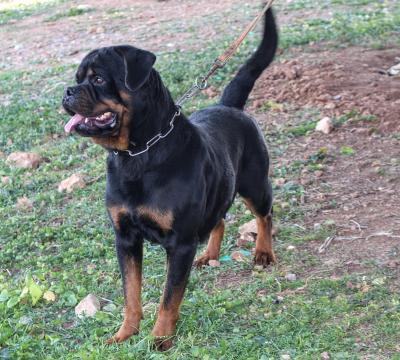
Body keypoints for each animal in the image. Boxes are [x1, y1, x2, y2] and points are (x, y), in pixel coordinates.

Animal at [62, 6, 278, 348]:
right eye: (78, 79)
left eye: (98, 78)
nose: (68, 91)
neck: (137, 156)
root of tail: (227, 105)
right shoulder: (125, 238)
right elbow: (131, 294)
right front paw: (125, 333)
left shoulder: (180, 244)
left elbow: (169, 297)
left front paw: (160, 338)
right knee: (219, 218)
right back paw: (210, 254)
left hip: (255, 184)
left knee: (264, 215)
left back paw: (263, 253)